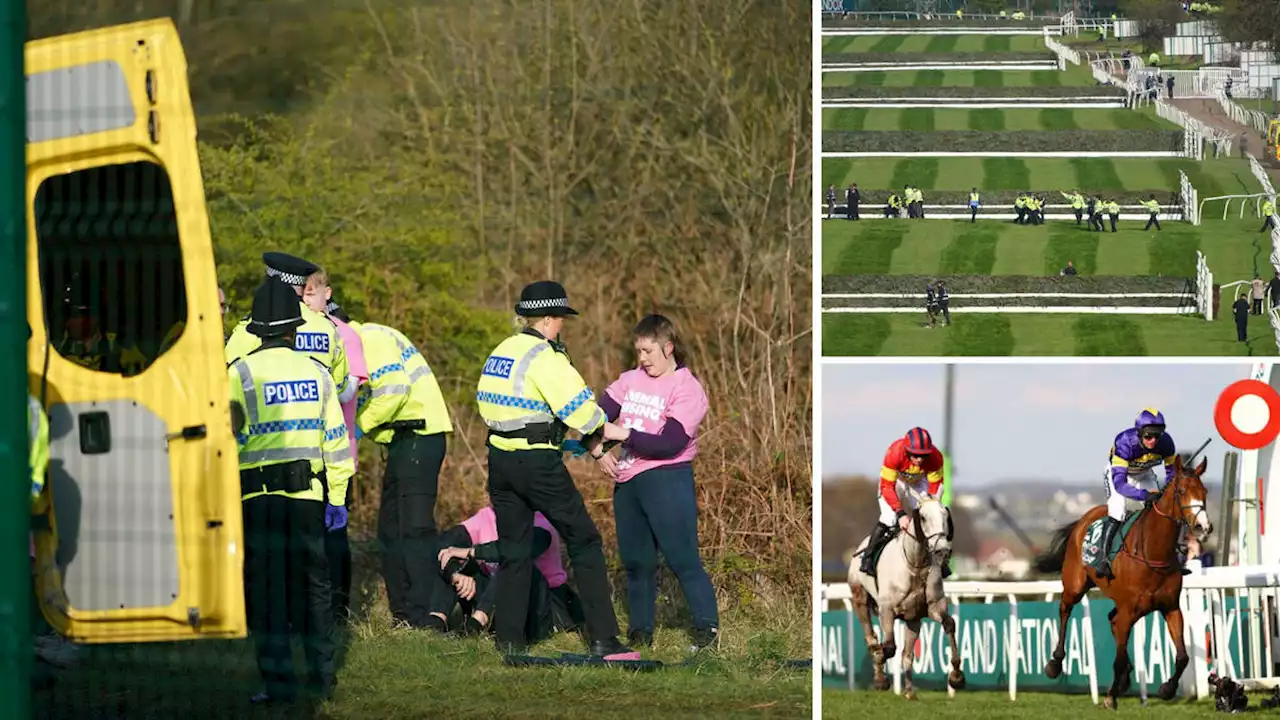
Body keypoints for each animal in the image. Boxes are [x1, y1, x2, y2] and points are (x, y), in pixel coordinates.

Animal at [844, 489, 962, 696]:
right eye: (922, 517)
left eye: (946, 516)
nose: (942, 552)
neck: (916, 565)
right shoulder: (886, 610)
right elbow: (888, 648)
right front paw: (881, 678)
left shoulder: (932, 607)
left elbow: (949, 624)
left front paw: (956, 677)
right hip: (859, 598)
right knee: (871, 638)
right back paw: (881, 676)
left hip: (913, 620)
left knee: (907, 654)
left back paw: (908, 690)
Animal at [1029, 453, 1208, 707]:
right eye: (1182, 491)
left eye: (1204, 492)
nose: (1203, 526)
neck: (1152, 554)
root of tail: (1084, 518)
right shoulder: (1129, 610)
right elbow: (1118, 659)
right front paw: (1110, 697)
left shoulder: (1171, 607)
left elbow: (1183, 656)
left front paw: (1166, 689)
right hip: (1075, 585)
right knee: (1065, 609)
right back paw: (1055, 664)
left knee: (1112, 621)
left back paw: (1124, 679)